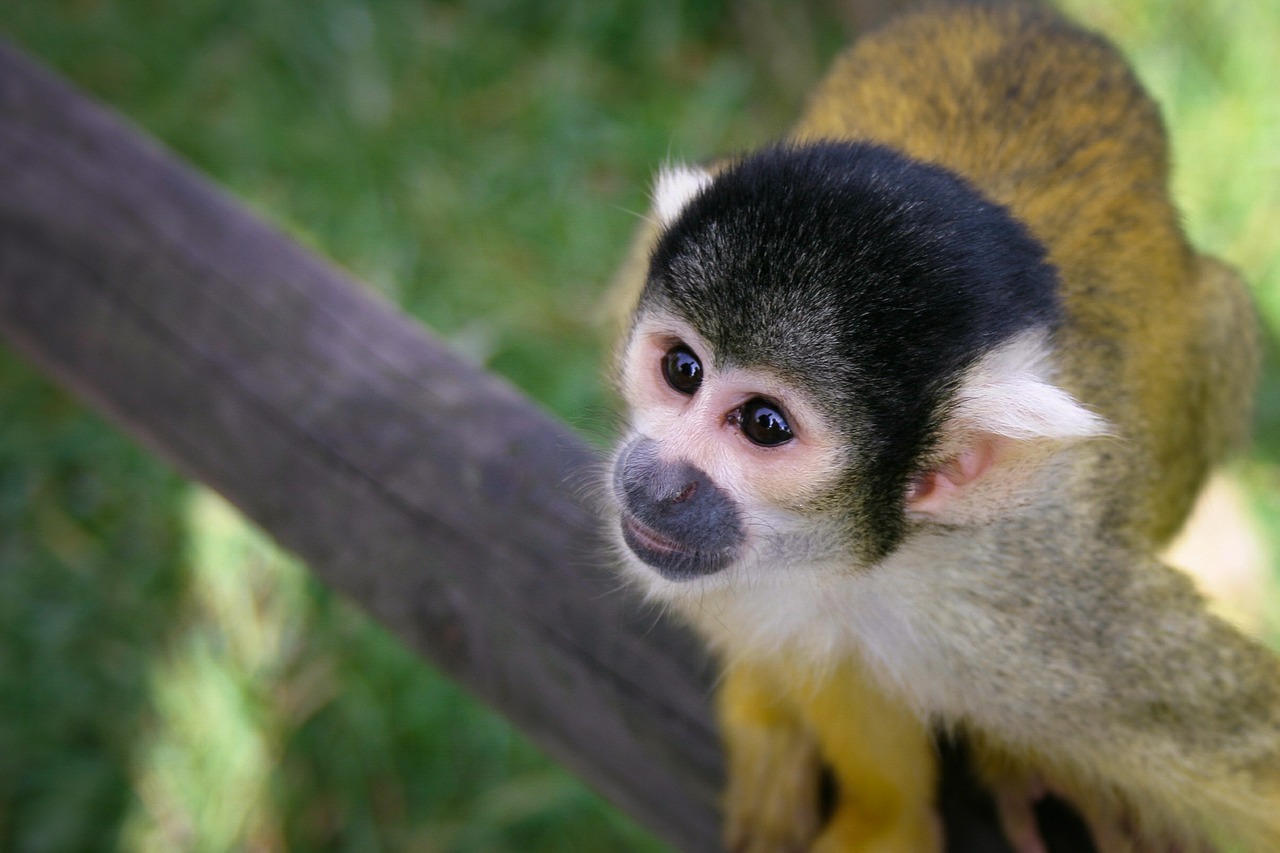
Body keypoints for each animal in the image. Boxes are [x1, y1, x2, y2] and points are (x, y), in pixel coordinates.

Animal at [604, 6, 1274, 850]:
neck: (871, 556)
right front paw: (885, 808)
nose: (656, 478)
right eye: (682, 369)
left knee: (1225, 320)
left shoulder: (1046, 606)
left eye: (763, 423)